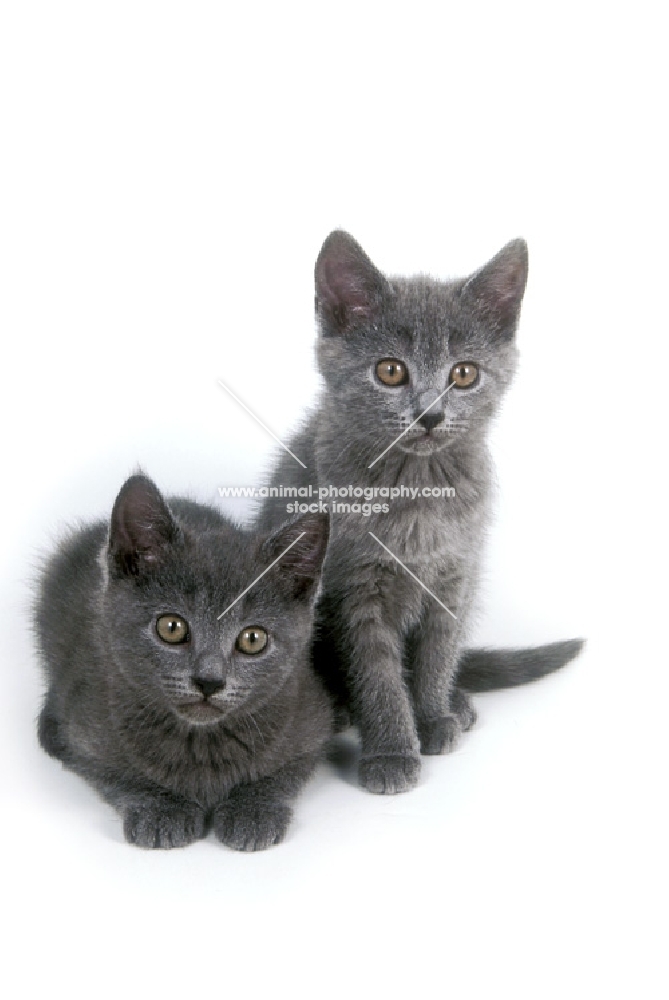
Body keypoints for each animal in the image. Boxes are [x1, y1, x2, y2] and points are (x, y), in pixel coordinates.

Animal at [35, 472, 332, 848]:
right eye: (171, 627)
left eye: (252, 639)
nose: (209, 680)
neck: (202, 743)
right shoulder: (86, 727)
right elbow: (115, 773)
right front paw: (161, 810)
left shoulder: (311, 718)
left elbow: (286, 771)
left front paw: (253, 809)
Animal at [258, 230, 580, 792]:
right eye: (391, 371)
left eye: (464, 373)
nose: (430, 414)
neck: (419, 489)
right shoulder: (353, 587)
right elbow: (378, 674)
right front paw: (392, 750)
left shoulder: (454, 578)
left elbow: (437, 654)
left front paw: (432, 718)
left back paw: (457, 701)